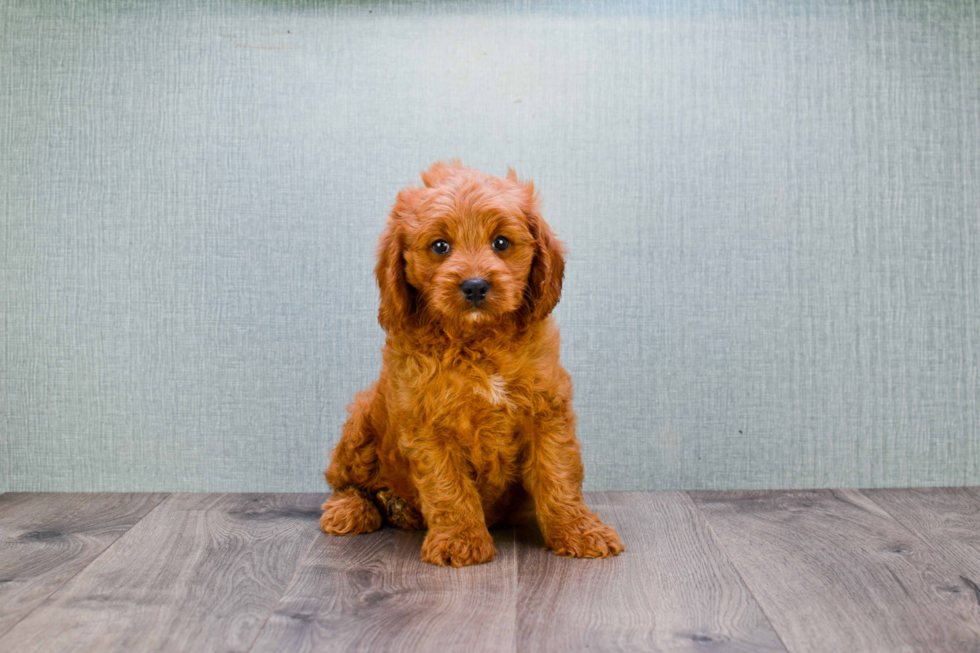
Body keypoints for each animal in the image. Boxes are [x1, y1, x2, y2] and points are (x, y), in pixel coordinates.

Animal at [324, 159, 628, 564]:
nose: (474, 285)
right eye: (440, 246)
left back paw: (400, 509)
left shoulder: (547, 411)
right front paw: (460, 540)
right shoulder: (427, 423)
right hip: (361, 422)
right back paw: (354, 509)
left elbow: (558, 476)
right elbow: (447, 487)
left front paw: (579, 531)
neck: (478, 340)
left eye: (501, 242)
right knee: (344, 481)